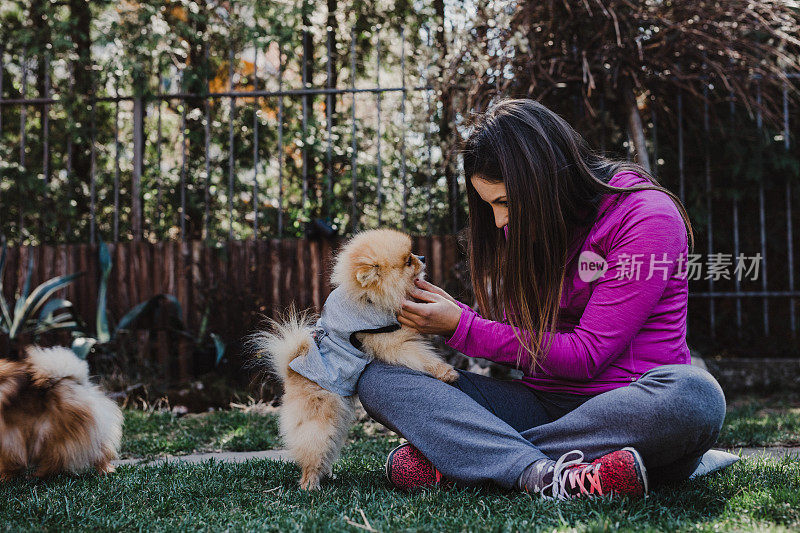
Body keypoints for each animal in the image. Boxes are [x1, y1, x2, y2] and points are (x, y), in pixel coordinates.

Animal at [0, 342, 123, 480]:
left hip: (48, 434)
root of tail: (73, 381)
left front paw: (6, 476)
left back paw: (38, 475)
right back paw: (106, 470)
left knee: (56, 459)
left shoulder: (9, 436)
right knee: (101, 452)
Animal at [250, 227, 456, 488]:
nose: (423, 257)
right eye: (408, 261)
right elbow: (420, 356)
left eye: (412, 255)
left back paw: (326, 474)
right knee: (312, 447)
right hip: (320, 416)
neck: (368, 298)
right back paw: (310, 483)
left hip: (337, 419)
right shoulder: (390, 340)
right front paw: (446, 372)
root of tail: (289, 371)